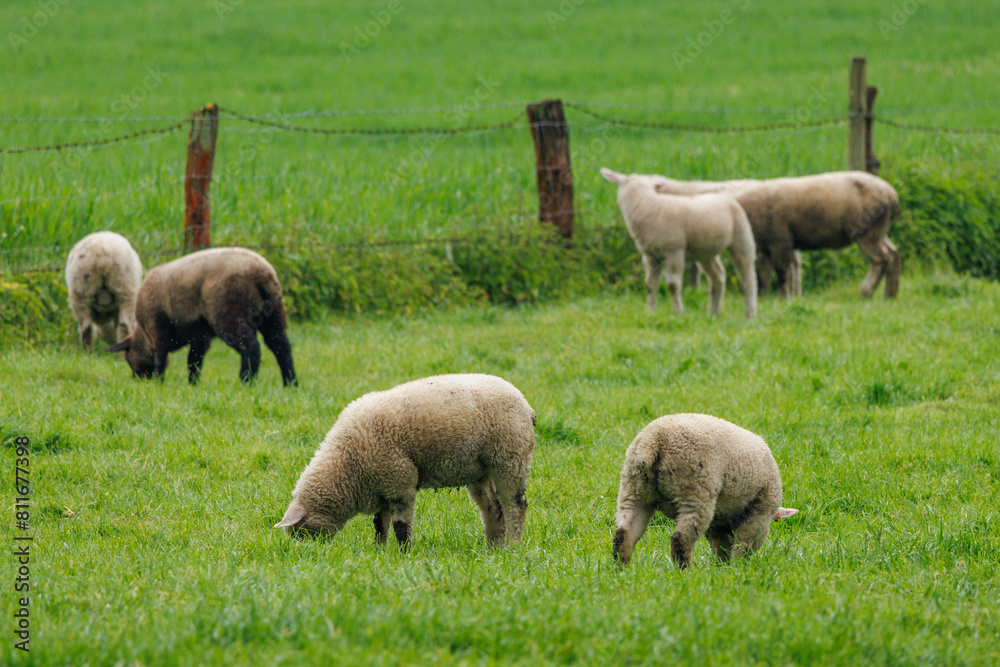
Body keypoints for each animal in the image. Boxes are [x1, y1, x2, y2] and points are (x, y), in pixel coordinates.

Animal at [108, 248, 298, 386]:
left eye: (129, 359)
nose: (137, 380)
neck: (143, 333)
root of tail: (262, 273)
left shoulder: (157, 326)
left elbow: (161, 356)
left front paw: (158, 381)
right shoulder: (200, 335)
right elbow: (194, 360)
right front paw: (193, 384)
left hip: (231, 314)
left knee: (251, 347)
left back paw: (245, 381)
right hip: (273, 313)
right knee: (280, 345)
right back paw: (290, 383)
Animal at [274, 374, 540, 552]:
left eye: (300, 531)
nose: (311, 555)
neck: (346, 465)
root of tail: (526, 405)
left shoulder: (399, 481)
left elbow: (401, 526)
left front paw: (404, 555)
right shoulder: (382, 486)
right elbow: (380, 524)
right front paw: (379, 552)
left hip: (510, 457)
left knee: (515, 505)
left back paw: (513, 547)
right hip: (479, 469)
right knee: (493, 508)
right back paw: (493, 548)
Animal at [600, 167, 756, 318]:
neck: (648, 206)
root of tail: (727, 197)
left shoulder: (674, 251)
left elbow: (673, 285)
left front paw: (678, 312)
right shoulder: (651, 256)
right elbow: (650, 286)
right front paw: (650, 312)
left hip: (742, 239)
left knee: (748, 278)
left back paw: (750, 314)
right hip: (706, 251)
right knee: (718, 276)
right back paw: (714, 313)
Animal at [652, 172, 904, 298]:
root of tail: (892, 196)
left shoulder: (780, 241)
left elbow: (782, 272)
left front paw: (782, 297)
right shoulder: (764, 245)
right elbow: (762, 273)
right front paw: (764, 295)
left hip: (868, 231)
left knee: (881, 259)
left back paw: (866, 292)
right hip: (880, 231)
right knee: (893, 254)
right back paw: (890, 293)